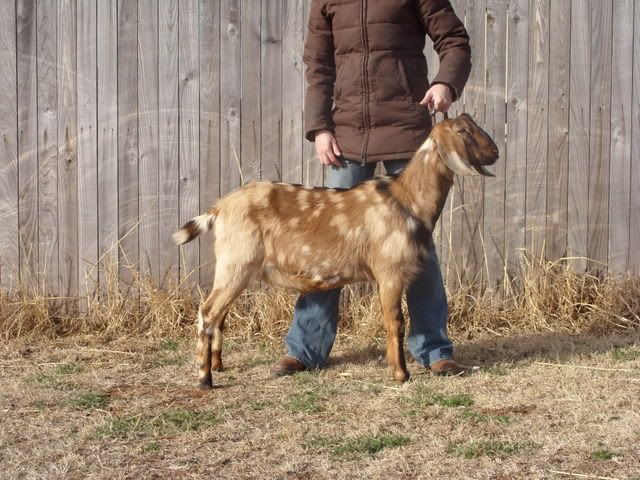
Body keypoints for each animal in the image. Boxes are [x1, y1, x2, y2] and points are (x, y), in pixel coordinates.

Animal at [173, 113, 499, 388]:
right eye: (464, 132)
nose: (495, 153)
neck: (406, 199)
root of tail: (219, 208)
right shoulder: (390, 272)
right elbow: (395, 322)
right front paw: (401, 374)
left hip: (235, 269)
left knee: (219, 315)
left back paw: (218, 365)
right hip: (236, 263)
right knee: (207, 312)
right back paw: (205, 379)